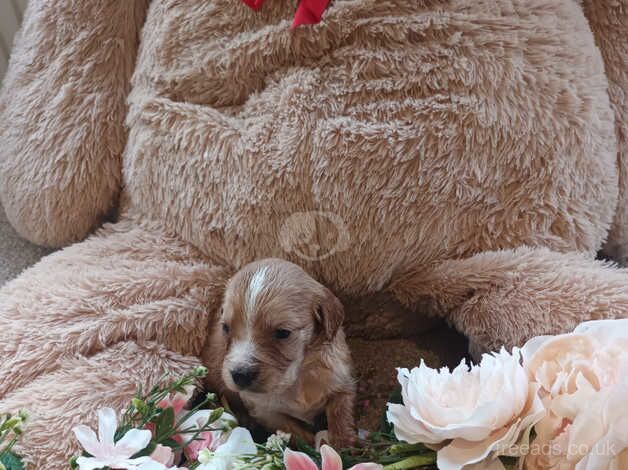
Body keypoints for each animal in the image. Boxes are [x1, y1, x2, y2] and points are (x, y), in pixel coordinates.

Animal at [202, 258, 356, 446]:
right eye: (225, 328)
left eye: (283, 333)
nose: (240, 374)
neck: (296, 380)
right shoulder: (265, 410)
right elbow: (296, 433)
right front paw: (315, 448)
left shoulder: (341, 379)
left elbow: (340, 413)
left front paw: (343, 445)